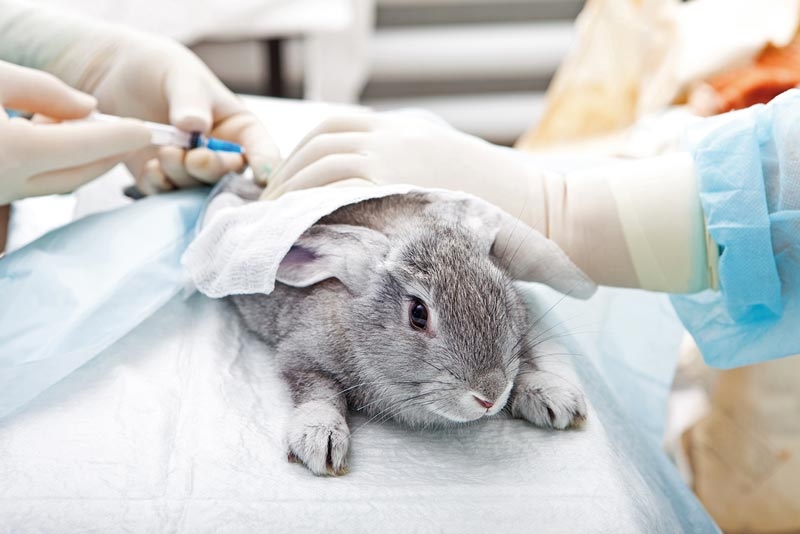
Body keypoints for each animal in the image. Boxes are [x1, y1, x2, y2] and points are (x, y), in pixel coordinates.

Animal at [228, 190, 592, 476]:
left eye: (501, 292)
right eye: (418, 314)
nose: (489, 396)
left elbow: (524, 361)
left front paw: (554, 397)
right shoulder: (301, 354)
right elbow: (319, 389)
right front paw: (320, 437)